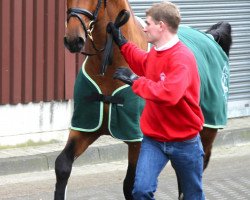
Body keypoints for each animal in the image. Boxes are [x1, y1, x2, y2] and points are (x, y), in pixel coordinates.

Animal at [54, 0, 232, 199]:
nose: (73, 40)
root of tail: (210, 38)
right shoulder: (86, 127)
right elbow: (62, 165)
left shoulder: (137, 141)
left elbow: (130, 185)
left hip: (207, 132)